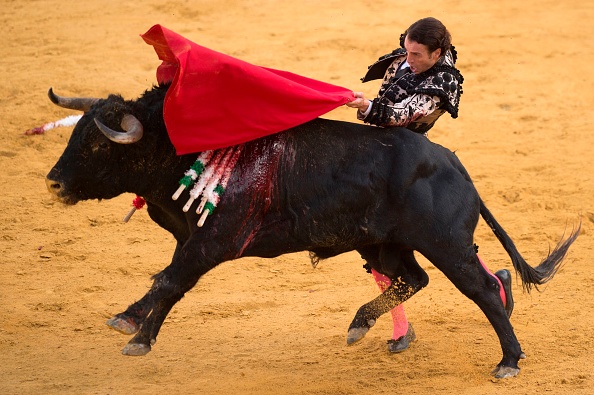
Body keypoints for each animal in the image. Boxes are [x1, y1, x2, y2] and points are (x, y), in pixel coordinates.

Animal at [46, 86, 580, 378]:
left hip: (445, 244)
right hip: (383, 244)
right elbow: (169, 283)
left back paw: (509, 360)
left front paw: (133, 330)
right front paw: (136, 329)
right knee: (415, 279)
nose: (53, 182)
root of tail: (457, 167)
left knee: (483, 290)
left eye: (97, 146)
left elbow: (168, 281)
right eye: (75, 135)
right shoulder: (189, 241)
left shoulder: (214, 241)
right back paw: (362, 325)